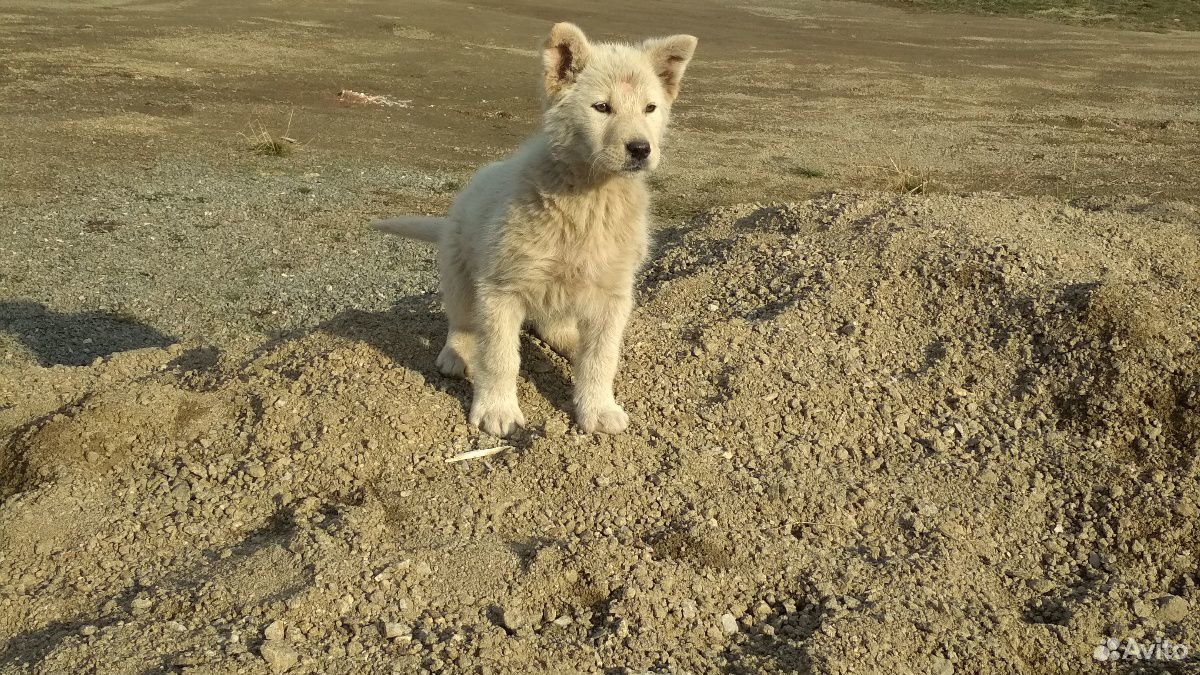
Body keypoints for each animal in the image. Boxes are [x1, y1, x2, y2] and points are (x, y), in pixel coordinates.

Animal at [372, 22, 696, 437]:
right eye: (601, 107)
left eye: (650, 108)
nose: (641, 149)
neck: (588, 196)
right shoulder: (501, 289)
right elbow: (500, 357)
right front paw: (497, 410)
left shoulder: (612, 294)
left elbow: (600, 358)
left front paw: (598, 408)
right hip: (460, 270)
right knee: (462, 321)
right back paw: (455, 355)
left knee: (553, 326)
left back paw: (570, 342)